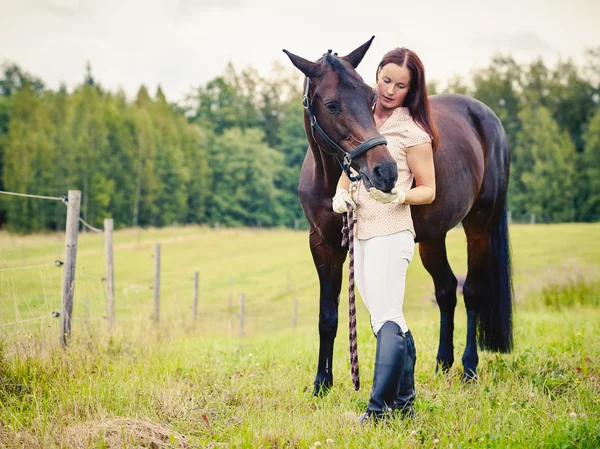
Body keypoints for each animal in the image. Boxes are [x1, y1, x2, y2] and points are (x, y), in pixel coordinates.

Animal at [284, 36, 512, 394]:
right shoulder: (322, 244)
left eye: (370, 97)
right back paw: (442, 364)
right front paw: (322, 383)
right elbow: (328, 317)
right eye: (332, 105)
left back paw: (468, 367)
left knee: (472, 292)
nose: (385, 171)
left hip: (479, 227)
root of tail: (487, 118)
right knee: (446, 290)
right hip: (433, 237)